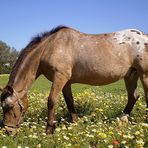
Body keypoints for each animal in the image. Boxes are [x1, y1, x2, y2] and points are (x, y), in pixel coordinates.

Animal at [0, 25, 148, 135]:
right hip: (131, 76)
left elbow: (51, 101)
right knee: (133, 97)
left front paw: (49, 130)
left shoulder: (60, 77)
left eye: (10, 107)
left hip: (144, 74)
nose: (8, 132)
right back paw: (122, 119)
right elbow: (69, 102)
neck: (50, 47)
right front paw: (74, 124)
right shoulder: (66, 82)